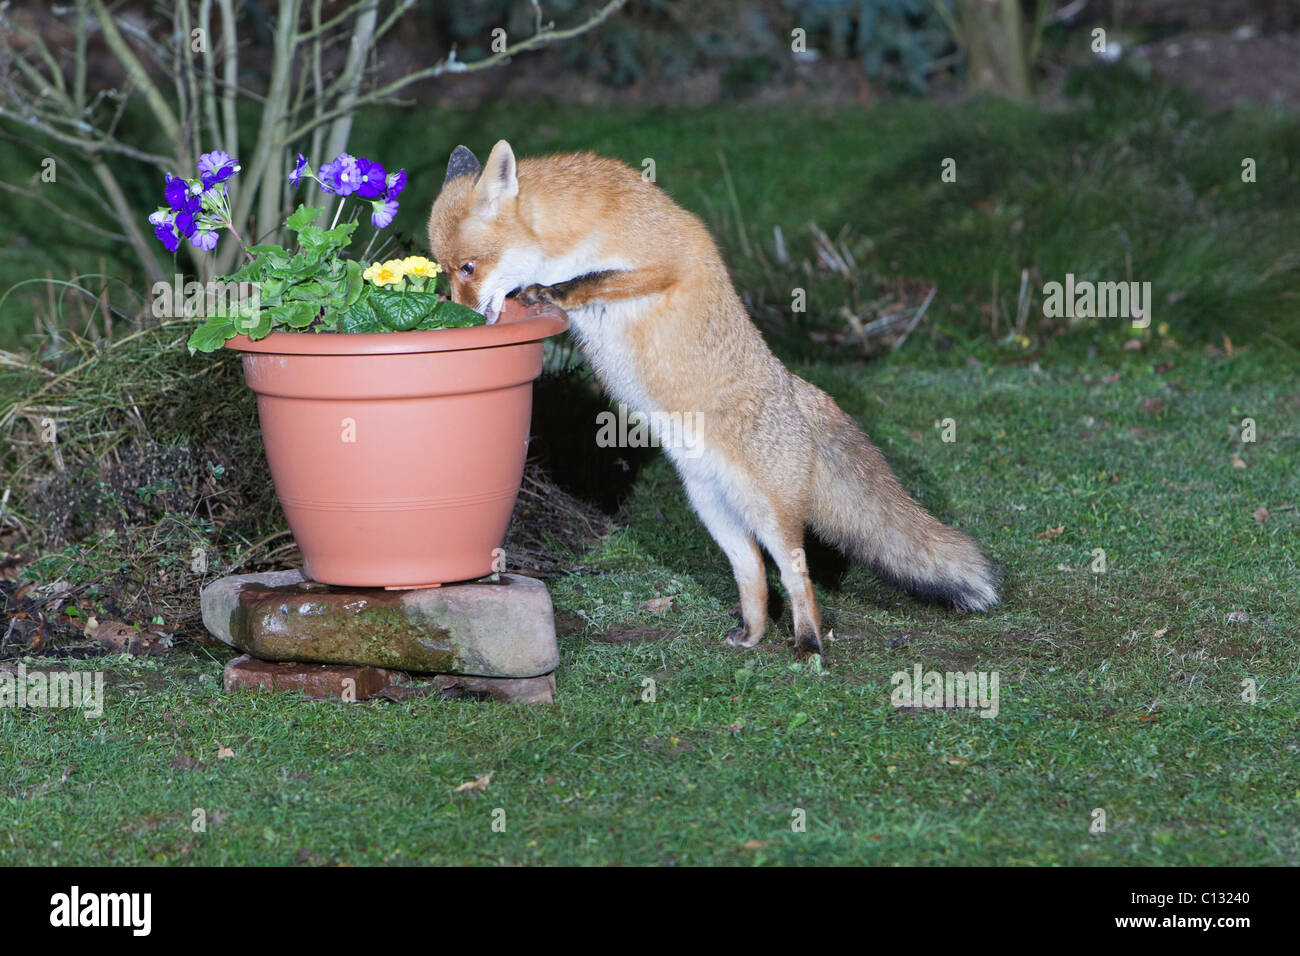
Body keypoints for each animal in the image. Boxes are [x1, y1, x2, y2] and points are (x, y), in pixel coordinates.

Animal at [428, 140, 999, 654]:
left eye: (468, 268)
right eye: (445, 272)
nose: (460, 320)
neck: (576, 227)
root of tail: (801, 390)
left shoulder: (668, 260)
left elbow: (592, 279)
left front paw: (551, 290)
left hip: (772, 518)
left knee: (797, 576)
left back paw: (808, 644)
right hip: (716, 514)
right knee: (755, 577)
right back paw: (751, 636)